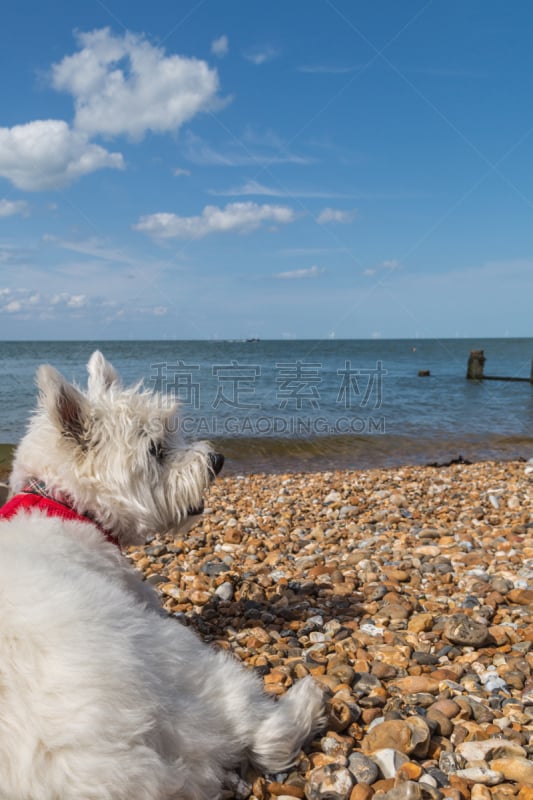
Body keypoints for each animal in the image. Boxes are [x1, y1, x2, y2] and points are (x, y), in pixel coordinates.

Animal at [0, 354, 324, 800]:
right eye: (155, 449)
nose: (217, 460)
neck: (63, 503)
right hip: (185, 662)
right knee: (263, 731)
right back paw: (308, 699)